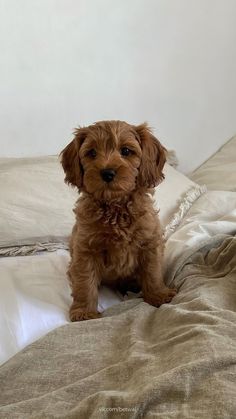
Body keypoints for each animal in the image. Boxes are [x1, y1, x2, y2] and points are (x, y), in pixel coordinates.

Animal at [61, 120, 176, 324]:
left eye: (126, 151)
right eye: (92, 153)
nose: (107, 173)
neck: (115, 207)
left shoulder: (149, 243)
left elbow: (153, 272)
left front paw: (158, 295)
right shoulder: (86, 250)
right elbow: (84, 282)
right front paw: (84, 312)